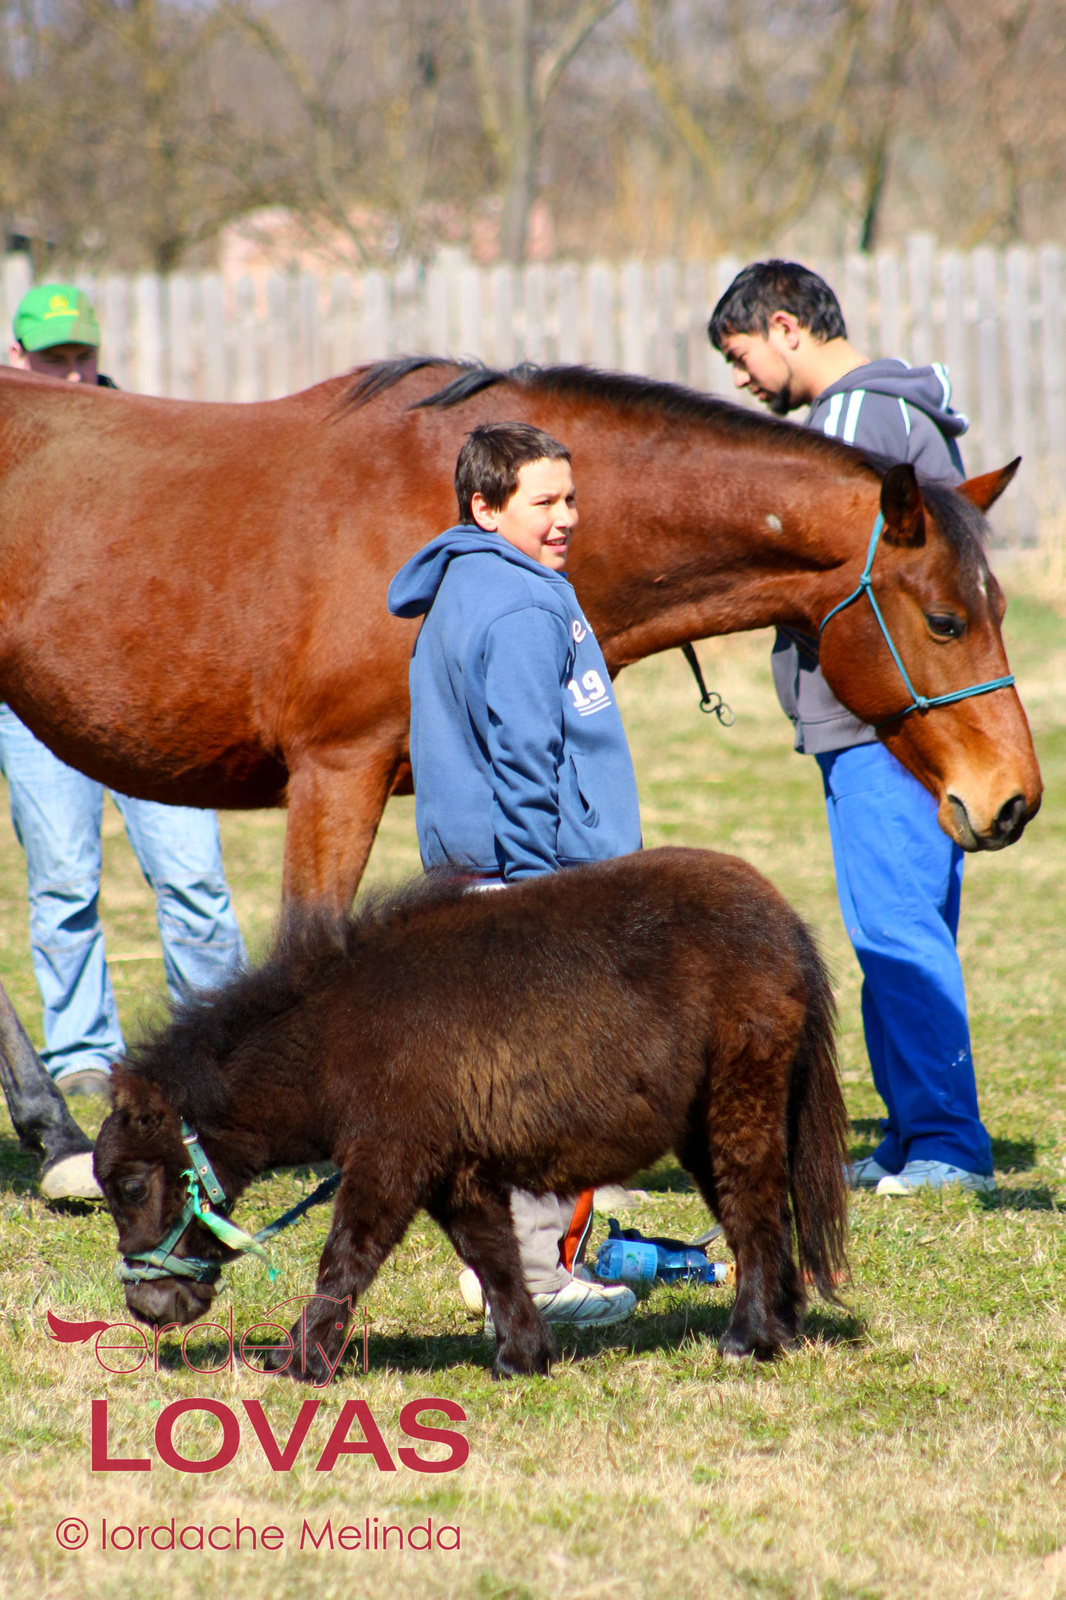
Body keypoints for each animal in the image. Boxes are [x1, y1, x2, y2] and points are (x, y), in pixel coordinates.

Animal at [95, 851, 851, 1388]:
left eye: (131, 1186)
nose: (148, 1310)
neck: (337, 1035)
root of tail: (781, 920)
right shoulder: (453, 1172)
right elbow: (493, 1257)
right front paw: (522, 1356)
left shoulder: (390, 1162)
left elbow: (347, 1257)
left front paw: (298, 1362)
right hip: (706, 1123)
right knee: (766, 1215)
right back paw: (781, 1327)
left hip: (738, 1102)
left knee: (752, 1212)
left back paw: (746, 1339)